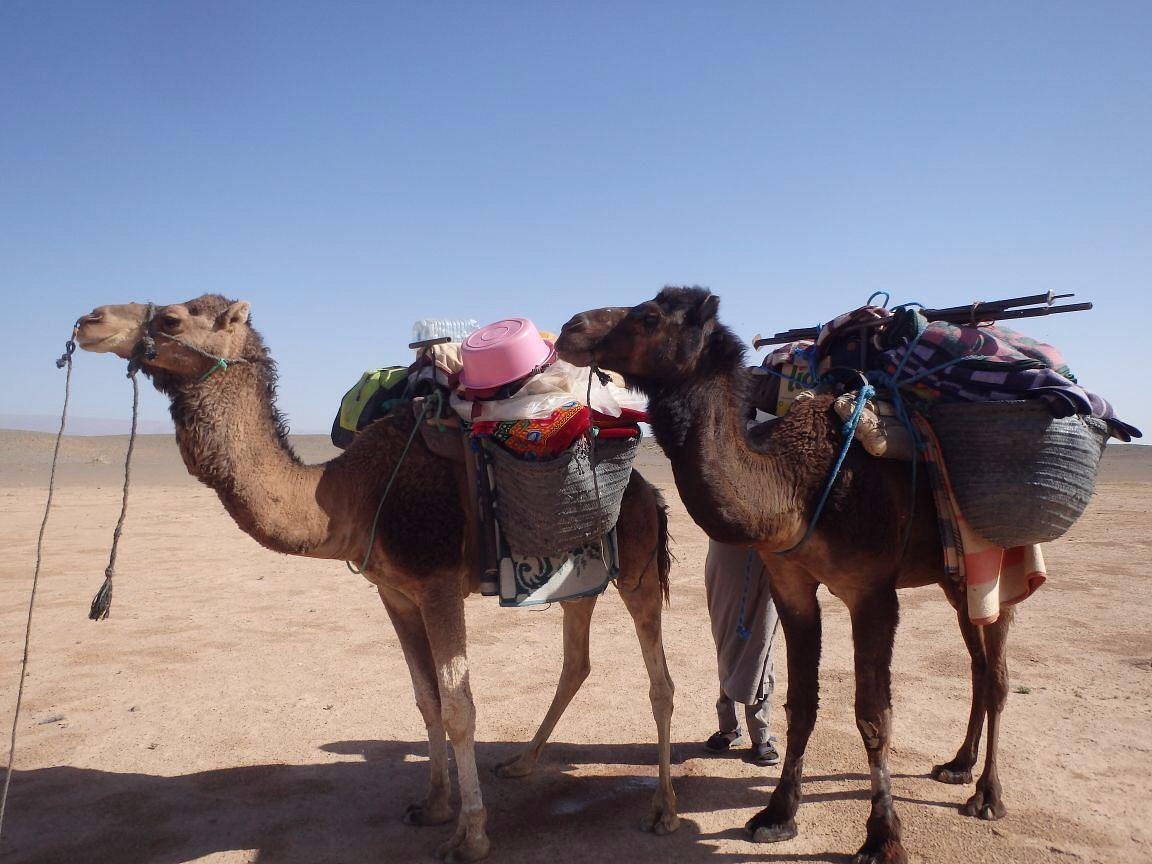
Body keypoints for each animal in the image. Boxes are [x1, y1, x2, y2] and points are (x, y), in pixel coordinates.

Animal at [74, 295, 678, 863]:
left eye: (172, 320)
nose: (89, 321)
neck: (353, 494)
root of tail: (650, 489)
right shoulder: (395, 593)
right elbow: (426, 698)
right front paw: (434, 805)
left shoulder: (438, 587)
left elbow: (459, 708)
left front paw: (470, 836)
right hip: (577, 578)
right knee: (575, 663)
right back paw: (521, 763)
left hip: (638, 569)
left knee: (659, 681)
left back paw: (663, 810)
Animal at [557, 287, 1016, 864]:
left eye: (649, 317)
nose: (570, 328)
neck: (797, 486)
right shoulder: (792, 584)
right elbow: (801, 703)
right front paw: (777, 814)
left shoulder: (872, 593)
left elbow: (873, 715)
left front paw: (882, 837)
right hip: (955, 578)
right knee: (978, 664)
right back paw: (957, 765)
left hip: (1000, 556)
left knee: (996, 674)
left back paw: (988, 795)